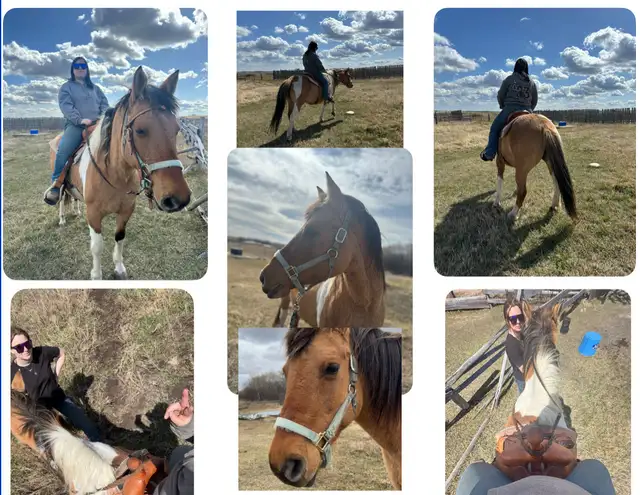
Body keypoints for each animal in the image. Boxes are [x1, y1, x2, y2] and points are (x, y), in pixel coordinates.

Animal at [47, 66, 192, 280]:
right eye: (140, 130)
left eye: (176, 130)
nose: (178, 199)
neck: (115, 175)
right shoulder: (94, 215)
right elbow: (97, 246)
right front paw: (96, 275)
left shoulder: (125, 211)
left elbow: (120, 237)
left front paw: (119, 268)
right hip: (60, 183)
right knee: (61, 198)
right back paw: (62, 218)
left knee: (72, 197)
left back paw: (76, 210)